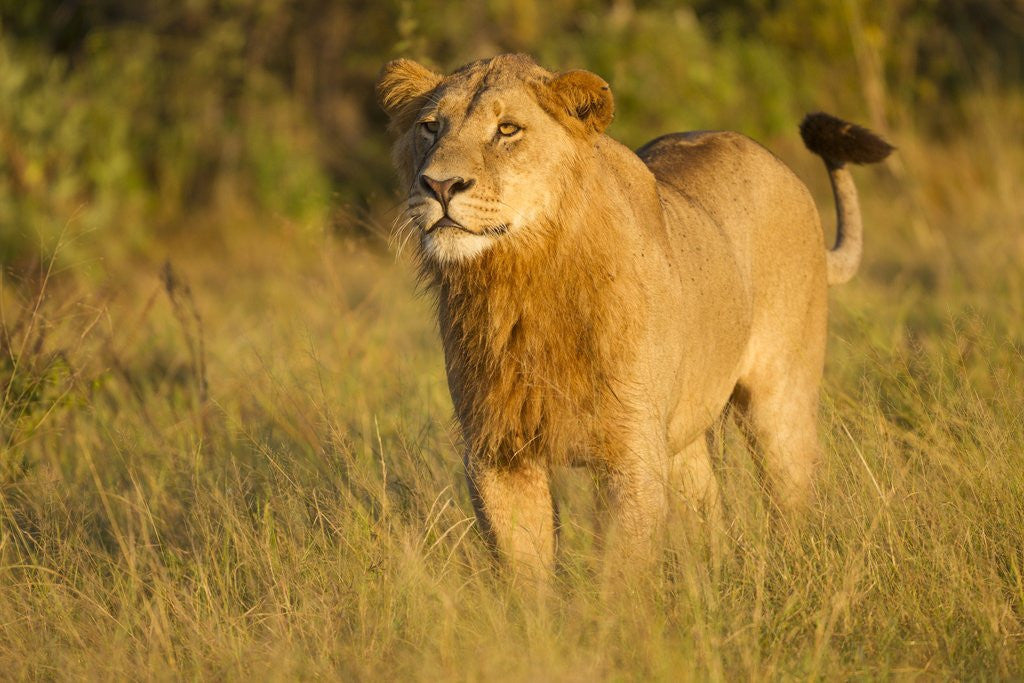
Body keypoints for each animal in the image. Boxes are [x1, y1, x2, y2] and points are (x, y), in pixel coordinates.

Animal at [376, 53, 892, 580]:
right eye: (430, 127)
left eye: (507, 129)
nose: (439, 185)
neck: (522, 281)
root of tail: (776, 164)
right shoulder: (495, 451)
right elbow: (524, 573)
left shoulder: (632, 450)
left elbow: (619, 574)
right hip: (684, 434)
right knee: (707, 508)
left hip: (780, 402)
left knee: (791, 498)